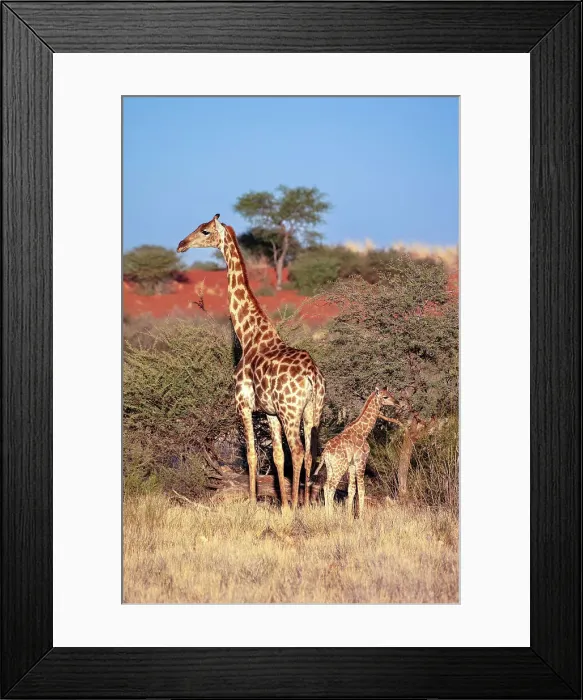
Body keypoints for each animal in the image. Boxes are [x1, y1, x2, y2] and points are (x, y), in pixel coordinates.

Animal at [177, 214, 325, 511]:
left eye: (205, 230)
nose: (181, 244)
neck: (248, 335)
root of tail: (312, 376)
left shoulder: (243, 405)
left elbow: (251, 456)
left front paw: (255, 503)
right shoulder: (270, 412)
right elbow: (277, 456)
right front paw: (282, 505)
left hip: (291, 411)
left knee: (298, 451)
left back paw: (296, 504)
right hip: (313, 410)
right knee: (310, 452)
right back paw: (303, 503)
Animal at [312, 387, 397, 518]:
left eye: (390, 394)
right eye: (385, 397)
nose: (396, 402)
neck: (363, 432)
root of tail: (325, 453)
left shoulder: (352, 464)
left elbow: (351, 489)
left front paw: (349, 516)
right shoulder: (361, 460)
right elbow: (361, 489)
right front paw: (361, 517)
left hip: (330, 466)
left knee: (326, 485)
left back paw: (327, 514)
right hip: (340, 467)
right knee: (331, 486)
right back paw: (331, 515)